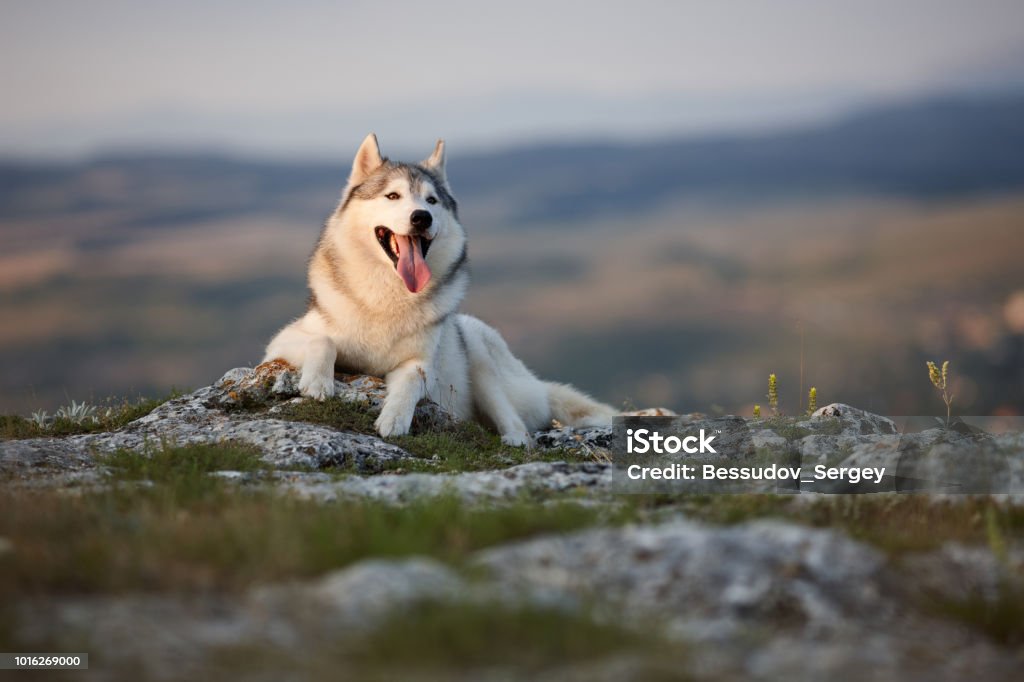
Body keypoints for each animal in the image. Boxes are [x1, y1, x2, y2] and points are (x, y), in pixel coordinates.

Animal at [264, 133, 614, 444]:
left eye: (431, 200)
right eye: (393, 196)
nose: (422, 217)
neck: (387, 298)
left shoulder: (421, 365)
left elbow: (410, 382)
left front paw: (394, 420)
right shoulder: (280, 344)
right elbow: (322, 341)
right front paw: (318, 383)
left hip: (477, 350)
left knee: (516, 423)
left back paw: (514, 440)